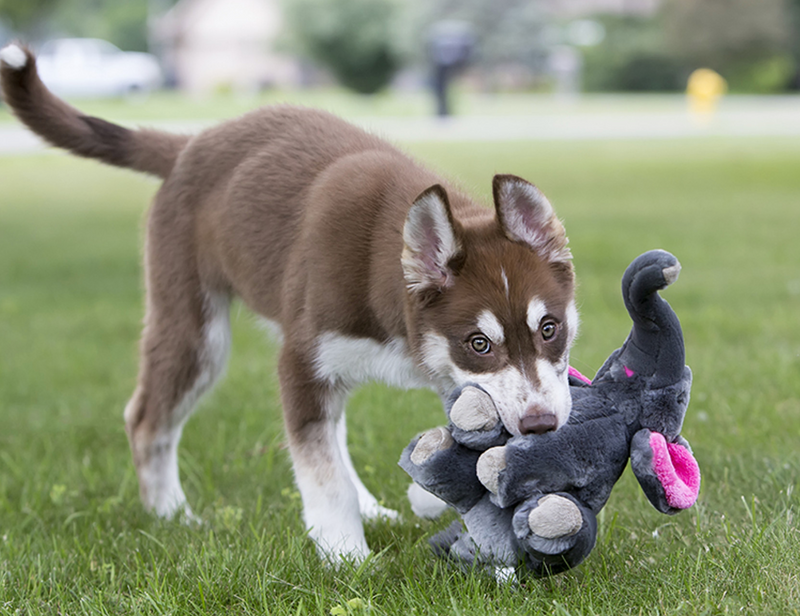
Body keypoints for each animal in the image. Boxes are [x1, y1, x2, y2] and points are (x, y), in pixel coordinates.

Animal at [0, 44, 576, 564]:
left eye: (550, 329)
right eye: (479, 343)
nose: (541, 425)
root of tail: (192, 142)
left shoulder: (442, 378)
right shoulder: (301, 361)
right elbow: (322, 475)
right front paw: (346, 557)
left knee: (332, 428)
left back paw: (372, 507)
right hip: (196, 332)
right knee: (147, 419)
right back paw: (172, 515)